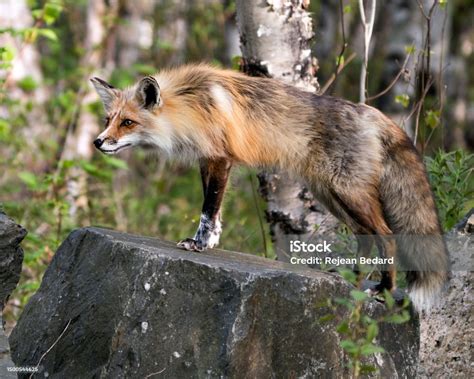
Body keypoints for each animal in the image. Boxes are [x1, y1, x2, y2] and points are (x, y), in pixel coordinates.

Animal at [90, 63, 450, 312]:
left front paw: (199, 243)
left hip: (348, 193)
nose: (98, 142)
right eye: (109, 119)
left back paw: (384, 291)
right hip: (331, 195)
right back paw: (354, 280)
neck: (192, 102)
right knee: (366, 237)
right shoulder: (208, 160)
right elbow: (214, 211)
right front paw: (212, 240)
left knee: (386, 236)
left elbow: (208, 209)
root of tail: (375, 113)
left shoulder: (219, 158)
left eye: (128, 123)